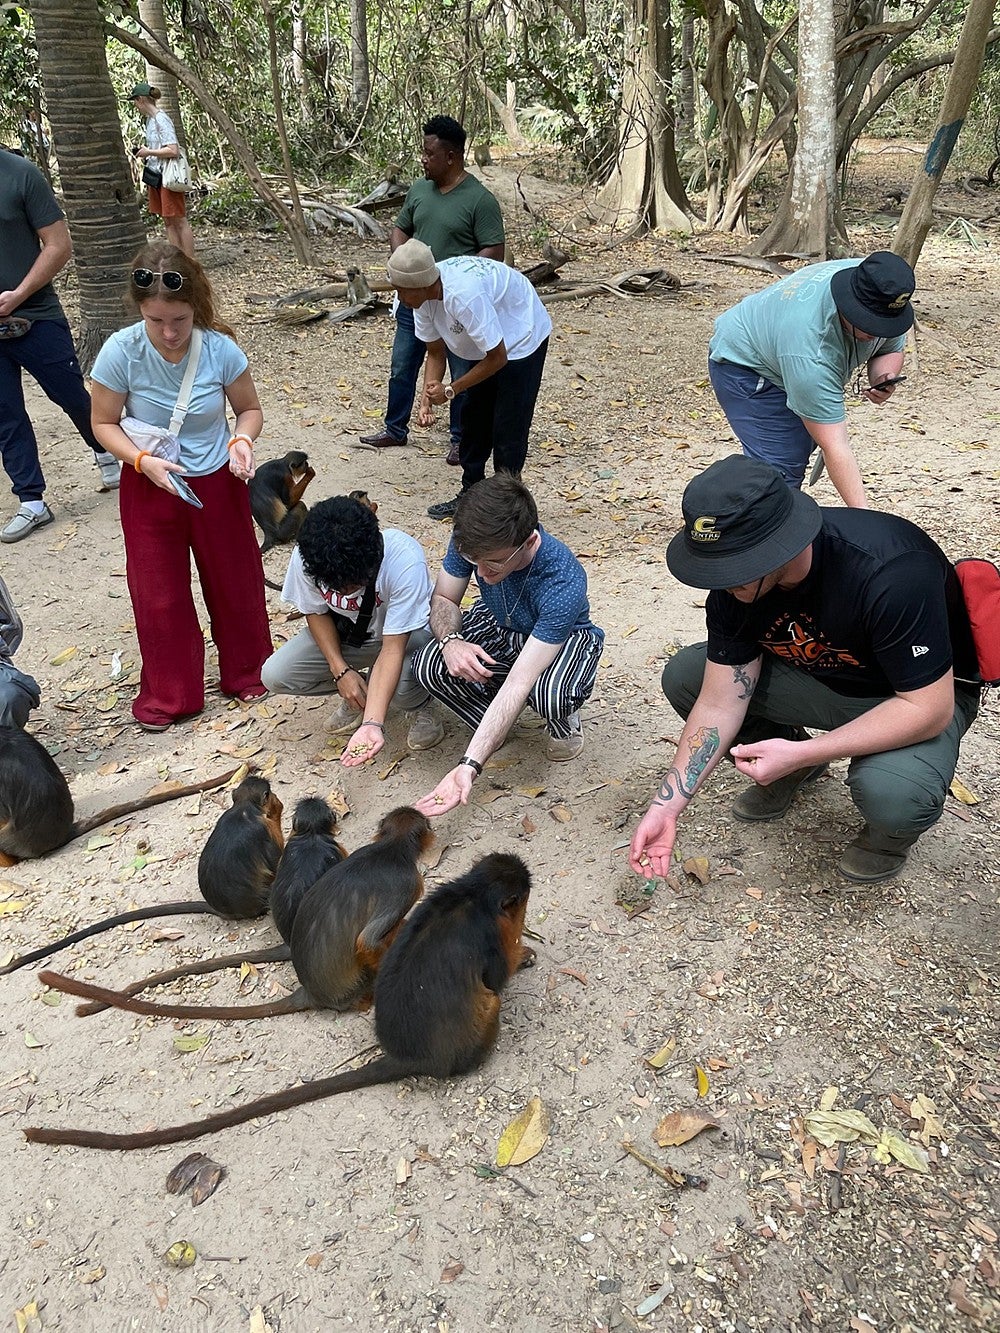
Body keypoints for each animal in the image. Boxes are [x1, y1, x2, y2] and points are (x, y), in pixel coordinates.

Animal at [25, 853, 533, 1146]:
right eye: (523, 894)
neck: (472, 895)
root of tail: (407, 1055)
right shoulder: (489, 935)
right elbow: (496, 977)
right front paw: (523, 954)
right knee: (489, 1001)